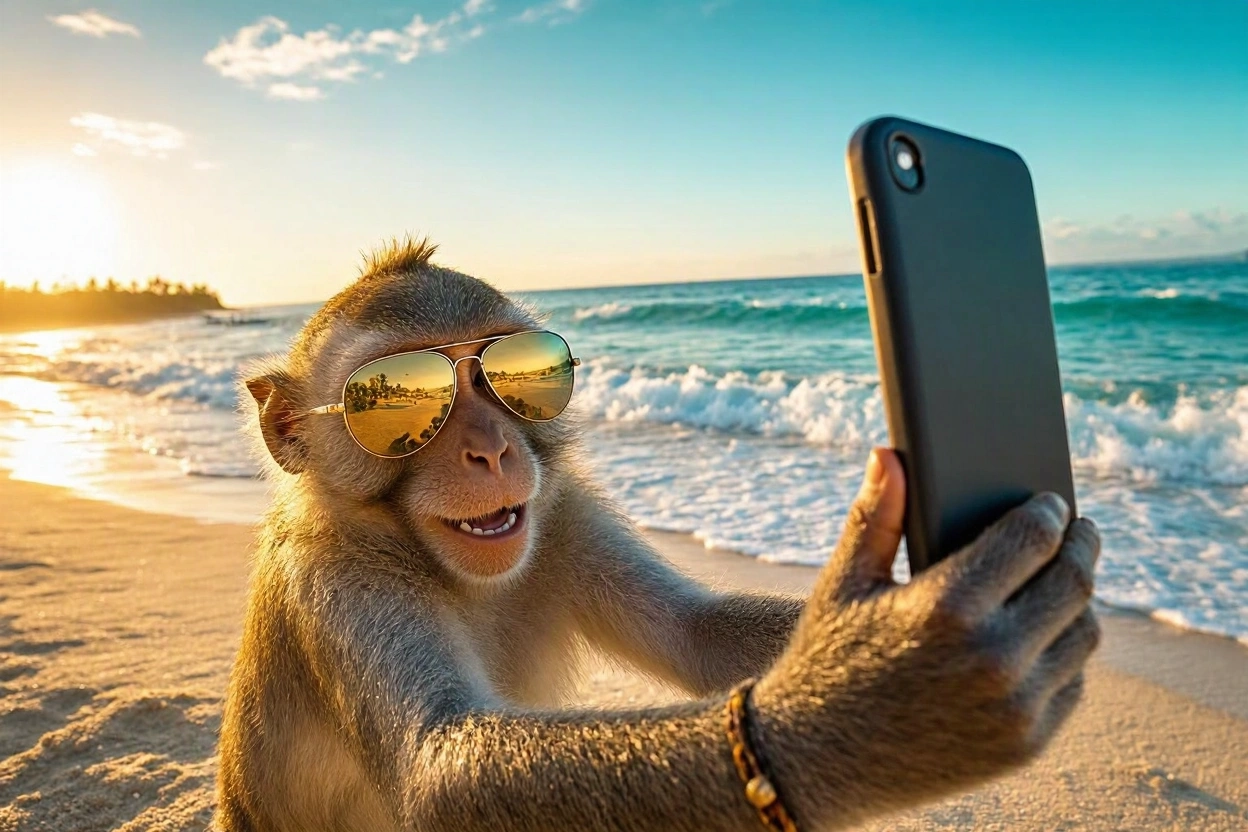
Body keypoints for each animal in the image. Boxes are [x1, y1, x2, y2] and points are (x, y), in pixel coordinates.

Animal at [215, 236, 1101, 831]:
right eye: (400, 394)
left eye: (509, 374)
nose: (492, 449)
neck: (443, 566)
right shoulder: (338, 584)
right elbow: (440, 772)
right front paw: (879, 690)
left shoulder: (563, 517)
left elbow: (693, 633)